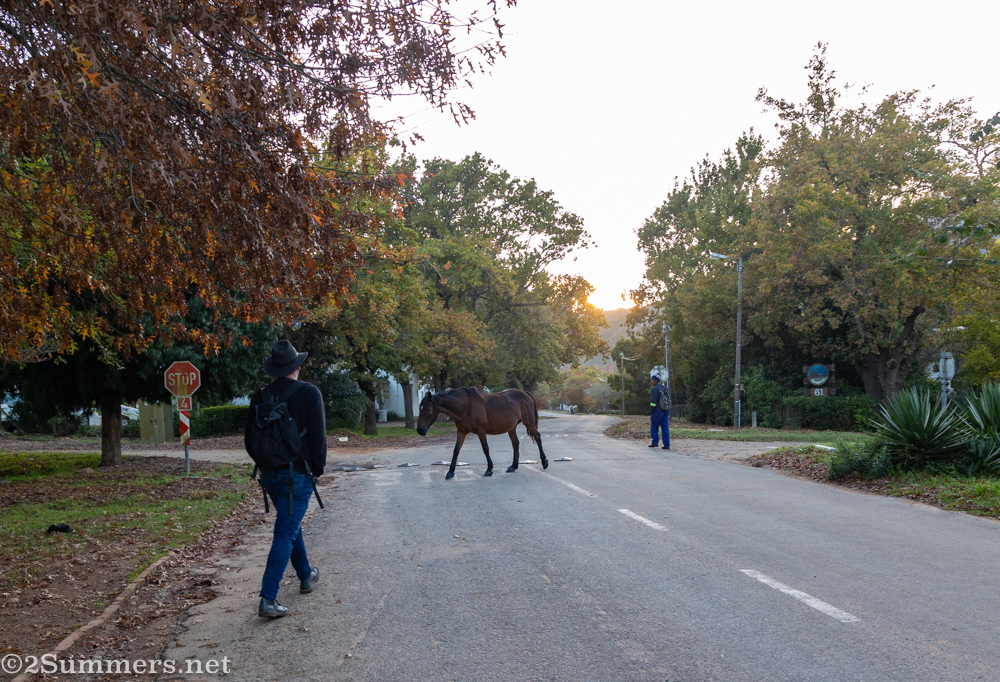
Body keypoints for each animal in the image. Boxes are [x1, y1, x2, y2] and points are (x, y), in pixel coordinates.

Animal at [416, 387, 548, 479]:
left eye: (428, 409)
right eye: (419, 408)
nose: (420, 430)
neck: (466, 406)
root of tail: (525, 394)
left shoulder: (481, 431)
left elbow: (485, 449)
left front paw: (489, 469)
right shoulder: (461, 432)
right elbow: (456, 451)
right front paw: (450, 472)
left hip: (529, 423)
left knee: (538, 438)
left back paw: (544, 462)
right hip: (512, 428)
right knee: (515, 443)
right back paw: (513, 466)